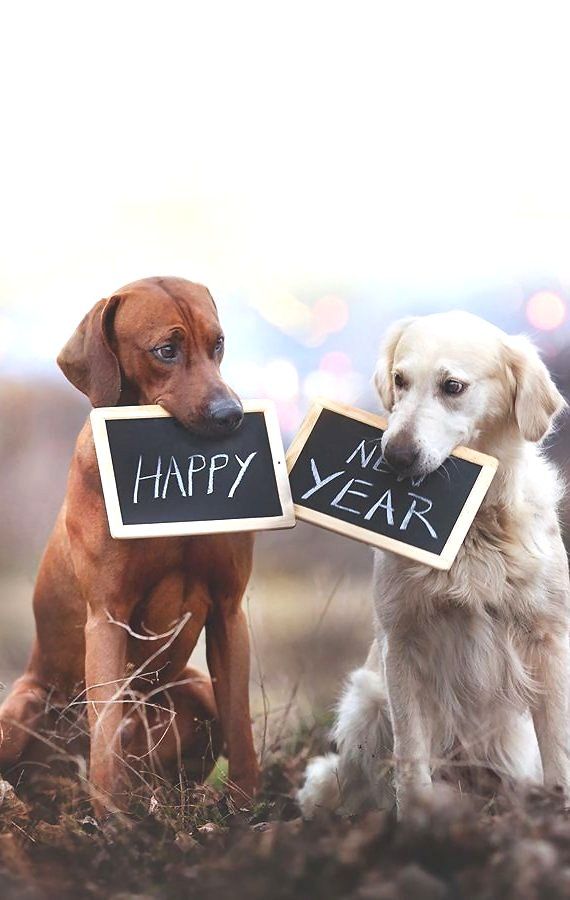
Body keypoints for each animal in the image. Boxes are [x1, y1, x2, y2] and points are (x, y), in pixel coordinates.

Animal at [0, 276, 258, 816]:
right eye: (166, 350)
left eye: (218, 343)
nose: (232, 416)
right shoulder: (107, 616)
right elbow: (104, 735)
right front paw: (114, 822)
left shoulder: (229, 608)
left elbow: (242, 727)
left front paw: (247, 809)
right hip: (21, 707)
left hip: (193, 689)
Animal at [298, 312, 568, 820]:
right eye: (400, 380)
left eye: (452, 386)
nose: (395, 456)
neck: (474, 528)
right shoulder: (402, 642)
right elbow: (410, 756)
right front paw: (417, 822)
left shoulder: (549, 638)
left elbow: (559, 747)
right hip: (366, 702)